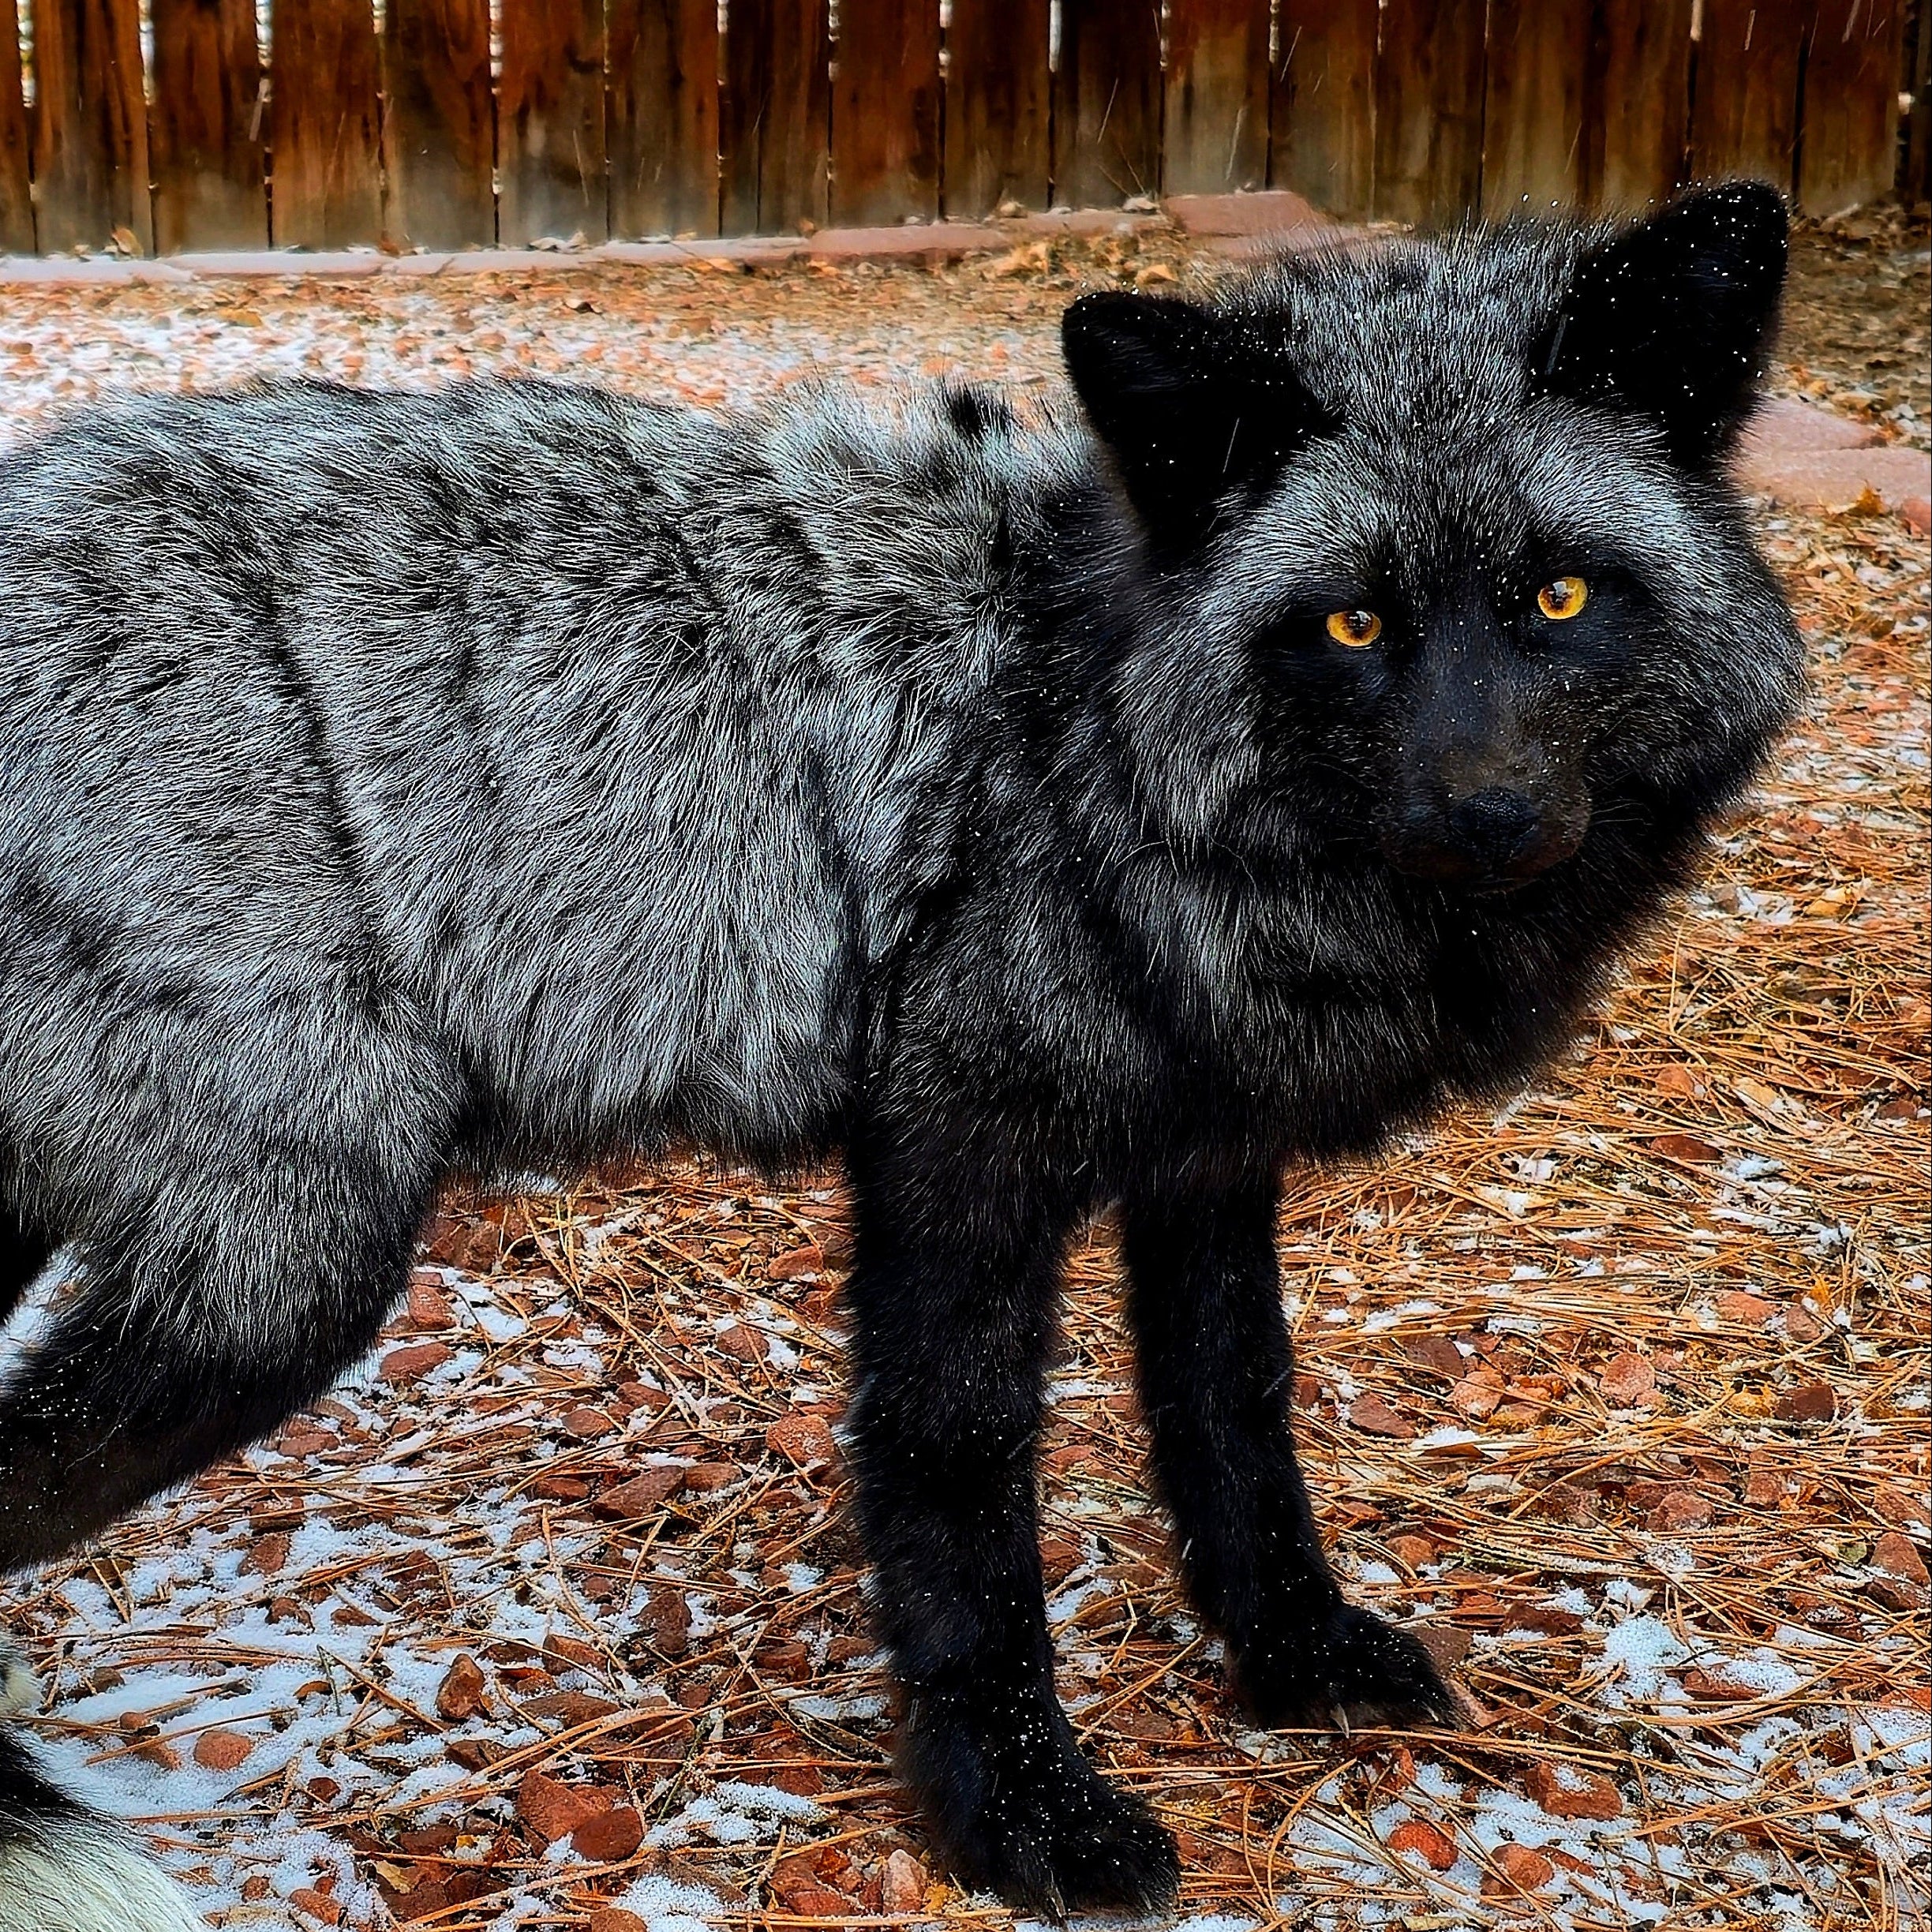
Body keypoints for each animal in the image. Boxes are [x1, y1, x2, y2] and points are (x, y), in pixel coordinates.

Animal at [0, 181, 1802, 1926]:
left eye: (1556, 595)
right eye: (1354, 624)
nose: (1488, 815)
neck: (1079, 720)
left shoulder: (1206, 1155)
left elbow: (1237, 1407)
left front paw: (1291, 1650)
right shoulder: (958, 1151)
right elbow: (962, 1482)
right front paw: (1018, 1812)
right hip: (279, 1276)